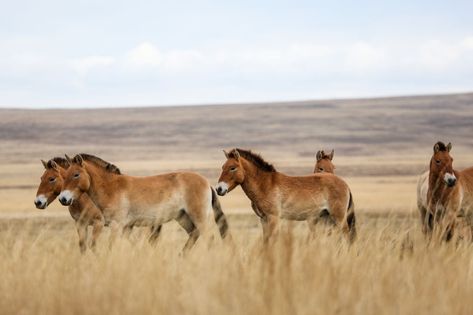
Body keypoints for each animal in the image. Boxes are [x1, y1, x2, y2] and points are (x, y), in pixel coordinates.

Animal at [58, 154, 230, 252]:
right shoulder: (126, 227)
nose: (63, 199)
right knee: (194, 235)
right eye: (64, 175)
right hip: (183, 217)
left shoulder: (116, 225)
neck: (111, 188)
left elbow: (112, 247)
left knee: (209, 238)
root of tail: (207, 183)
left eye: (76, 174)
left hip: (198, 216)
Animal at [215, 149, 354, 243]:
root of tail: (344, 183)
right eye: (223, 167)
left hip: (339, 218)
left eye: (232, 168)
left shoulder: (273, 218)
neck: (265, 184)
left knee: (347, 236)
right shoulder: (263, 219)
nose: (219, 189)